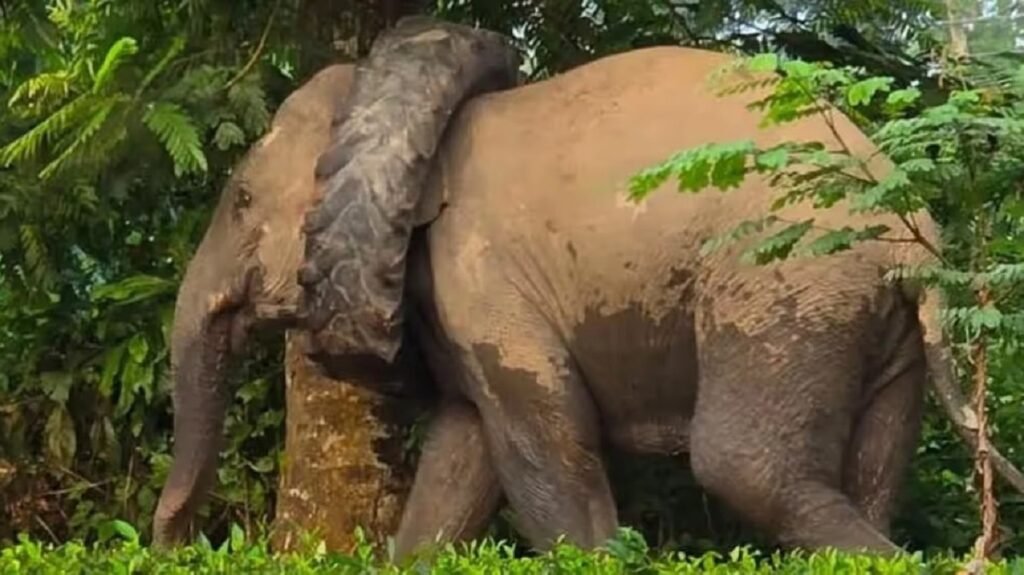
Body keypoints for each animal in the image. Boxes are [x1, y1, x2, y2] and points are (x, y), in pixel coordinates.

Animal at [154, 16, 1024, 560]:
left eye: (240, 201)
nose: (169, 537)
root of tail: (911, 220)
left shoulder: (485, 279)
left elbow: (547, 434)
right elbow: (462, 450)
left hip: (786, 282)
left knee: (743, 465)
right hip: (872, 316)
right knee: (872, 468)